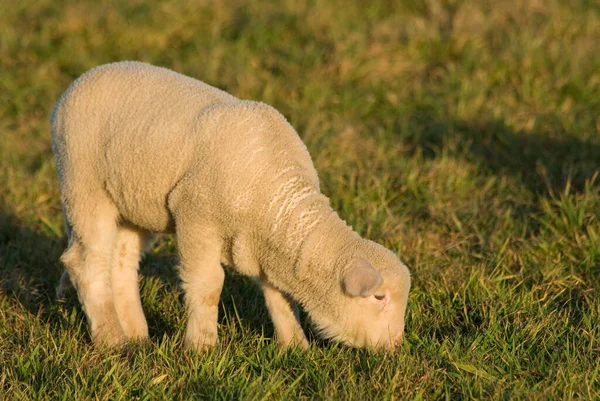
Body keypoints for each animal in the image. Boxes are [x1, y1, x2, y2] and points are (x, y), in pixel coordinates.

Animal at [51, 60, 410, 350]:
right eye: (379, 297)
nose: (395, 345)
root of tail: (83, 78)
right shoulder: (196, 217)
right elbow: (208, 286)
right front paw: (201, 347)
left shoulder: (267, 246)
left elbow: (280, 297)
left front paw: (295, 346)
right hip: (84, 184)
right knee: (86, 263)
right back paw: (112, 340)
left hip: (132, 202)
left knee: (122, 263)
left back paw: (137, 335)